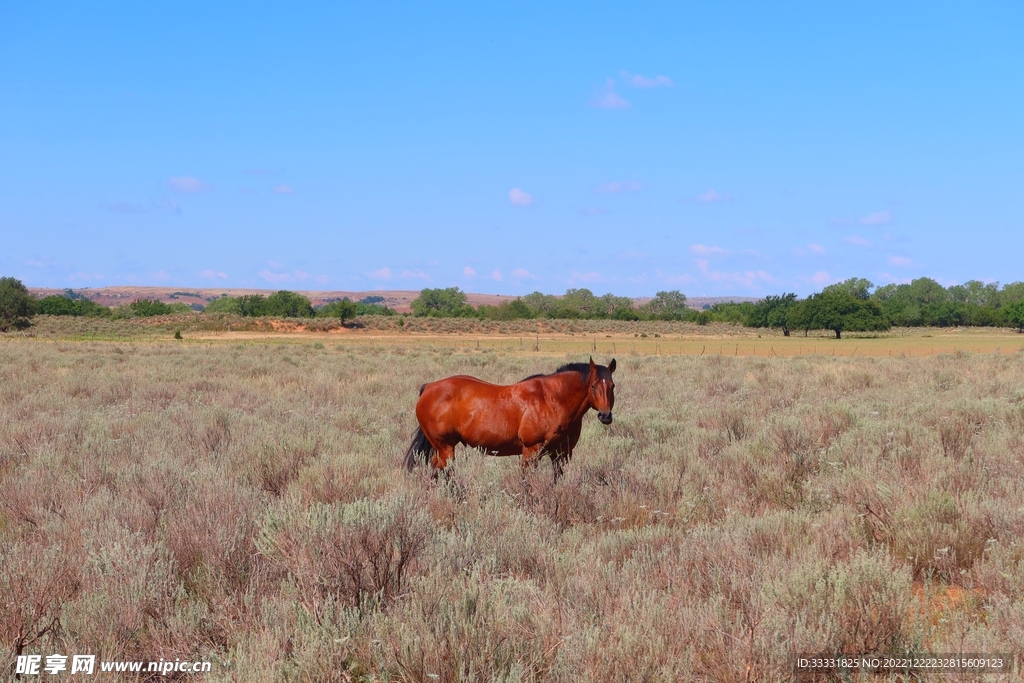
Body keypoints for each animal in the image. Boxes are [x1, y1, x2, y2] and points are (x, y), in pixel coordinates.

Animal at [405, 357, 616, 480]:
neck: (552, 399)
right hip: (445, 448)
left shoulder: (561, 454)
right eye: (593, 386)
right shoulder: (531, 451)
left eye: (612, 386)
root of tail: (429, 387)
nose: (605, 416)